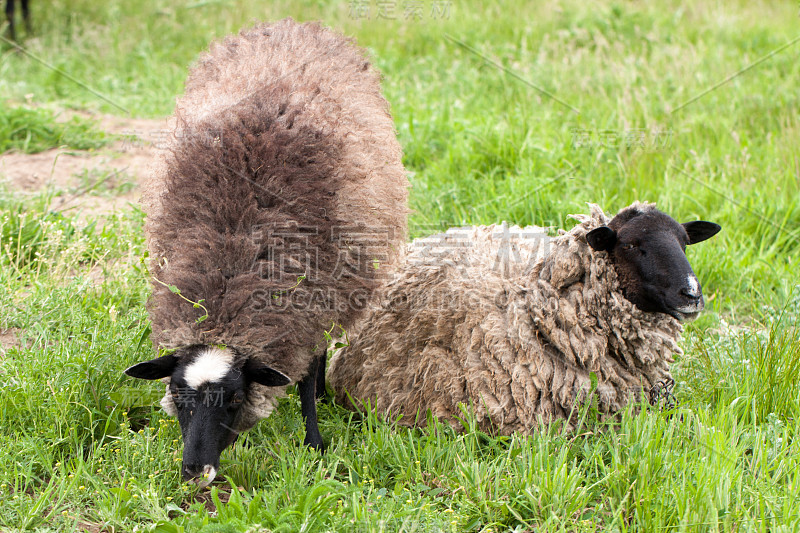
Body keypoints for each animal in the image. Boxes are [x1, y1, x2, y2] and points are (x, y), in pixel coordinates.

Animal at [127, 18, 410, 484]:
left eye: (234, 400)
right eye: (177, 396)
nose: (196, 471)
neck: (230, 270)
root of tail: (290, 25)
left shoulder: (313, 302)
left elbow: (309, 372)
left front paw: (314, 441)